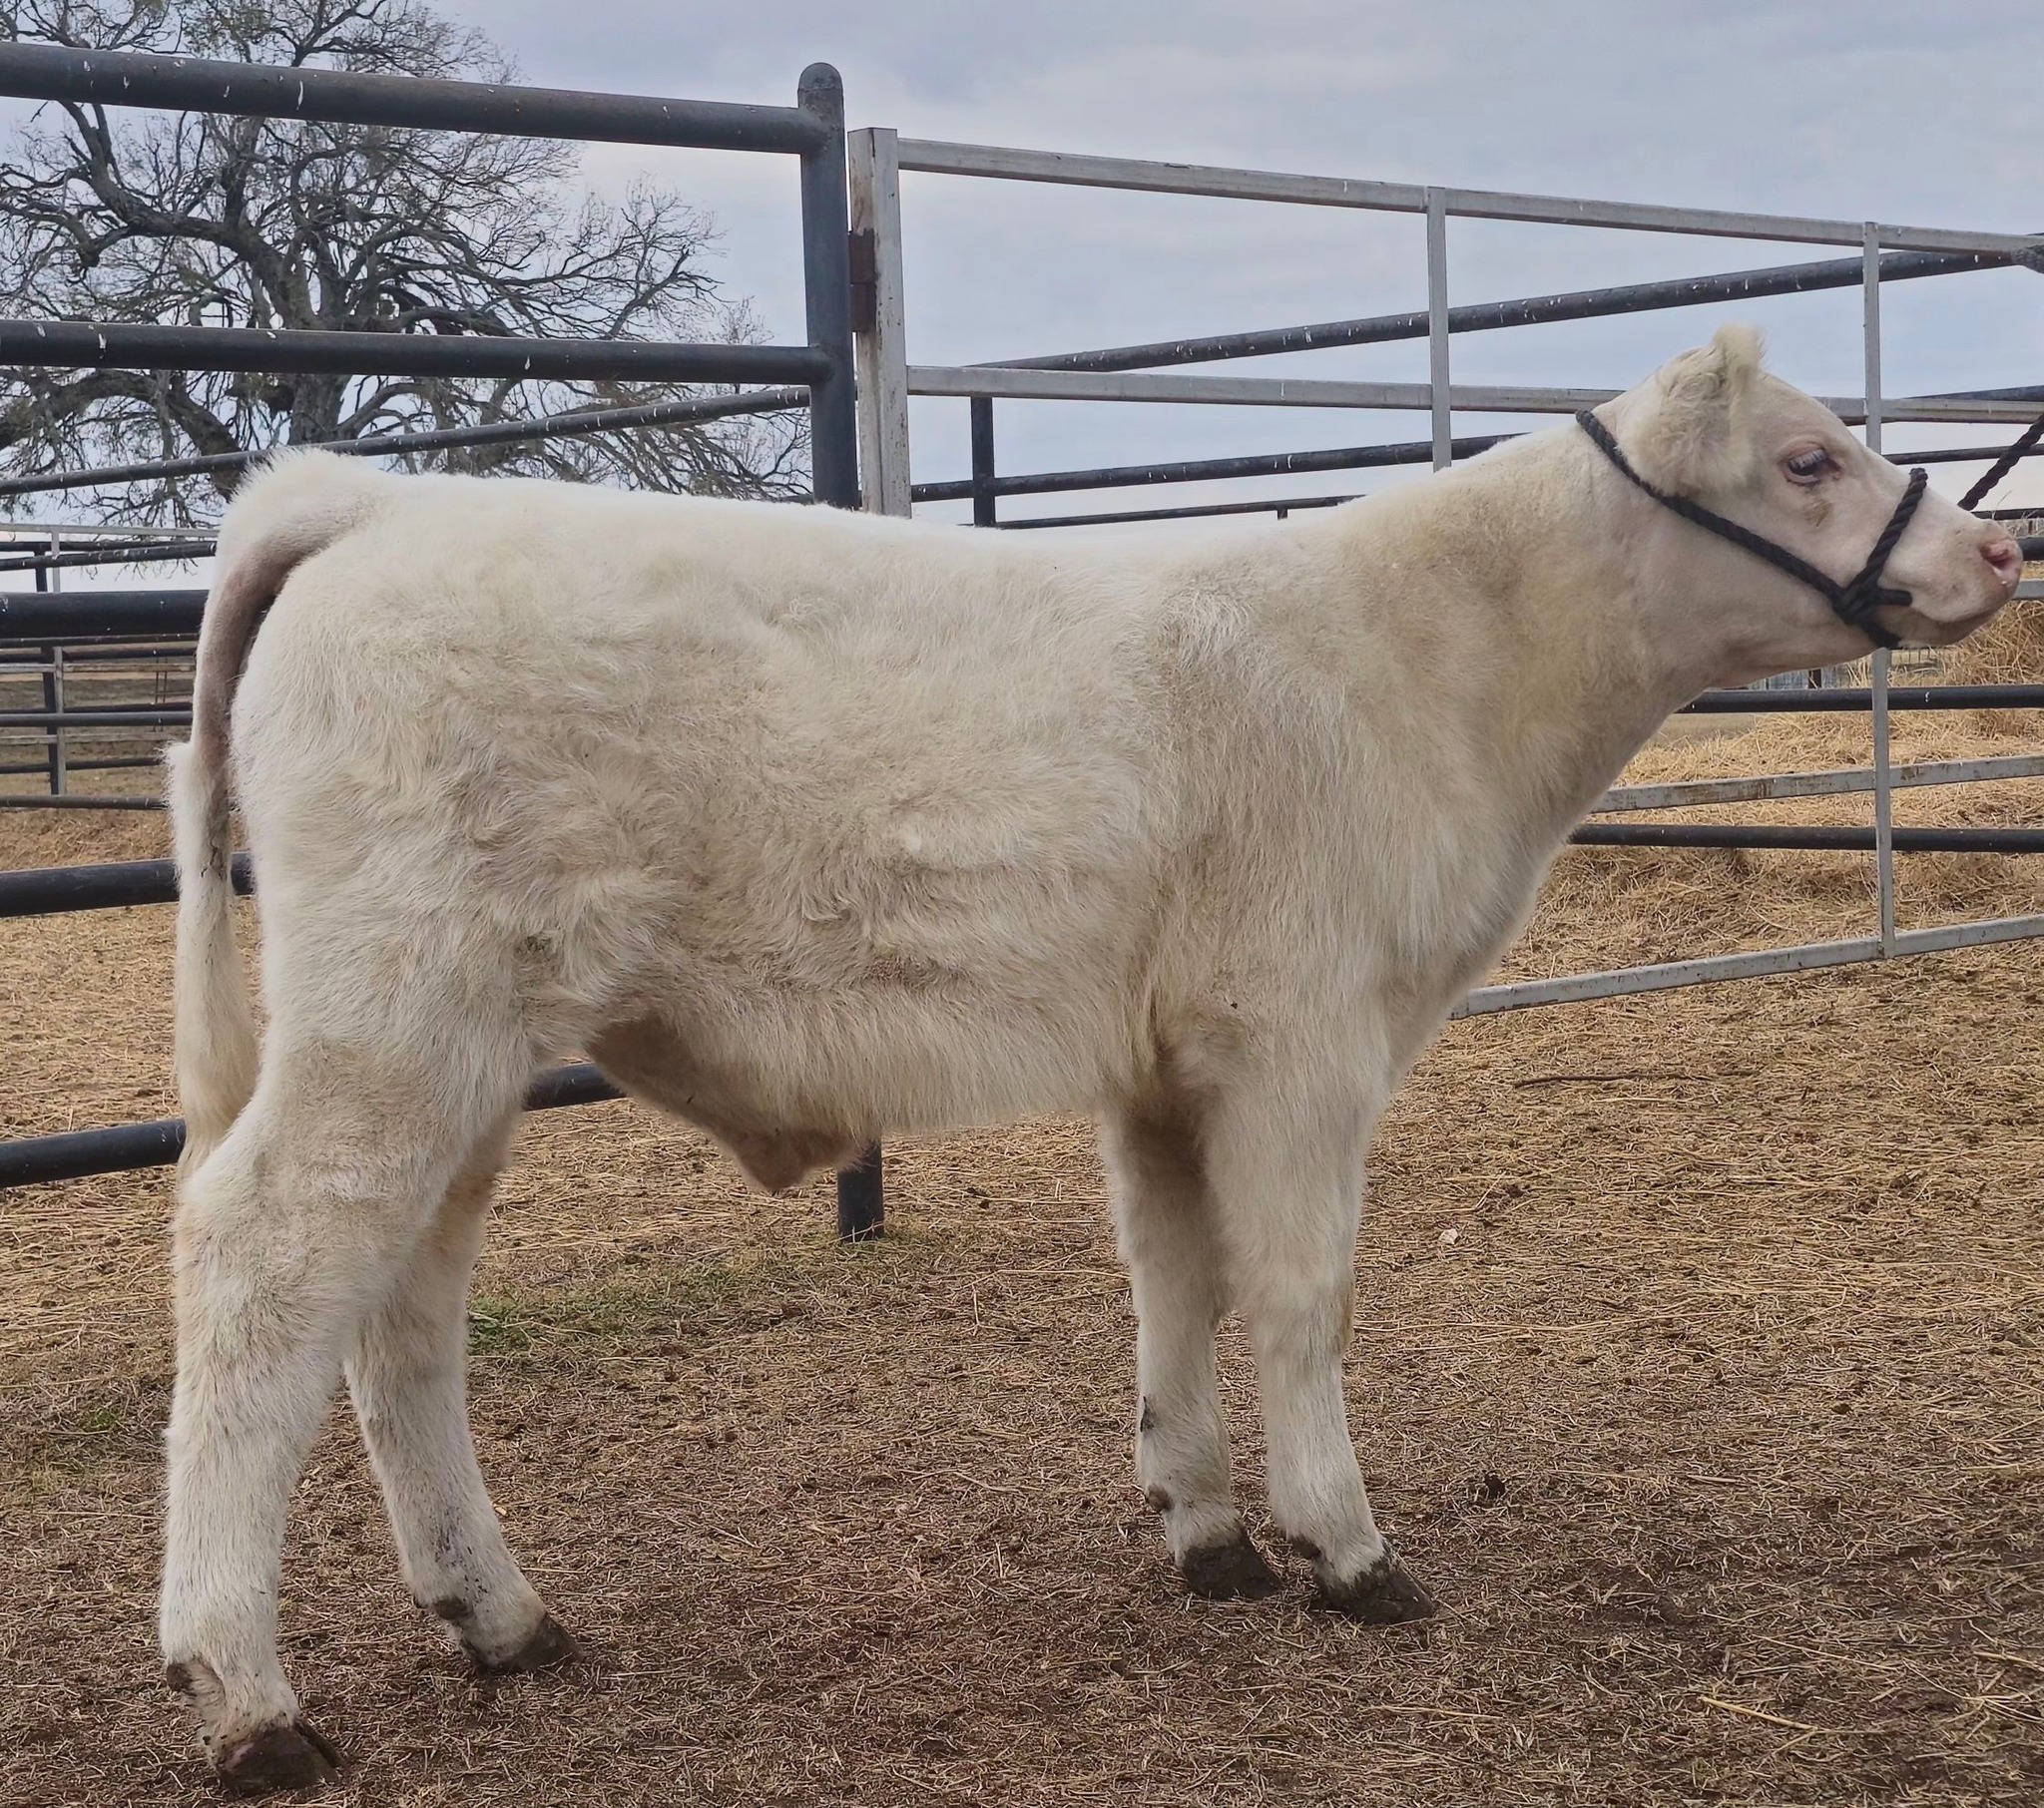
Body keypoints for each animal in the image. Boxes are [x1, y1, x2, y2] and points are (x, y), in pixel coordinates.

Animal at [157, 325, 2022, 1789]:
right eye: (1805, 456)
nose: (1997, 554)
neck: (1428, 662)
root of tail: (372, 500)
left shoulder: (1167, 1061)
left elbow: (1172, 1276)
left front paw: (1204, 1527)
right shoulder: (1302, 1036)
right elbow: (1299, 1290)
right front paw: (1348, 1544)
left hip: (461, 1054)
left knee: (401, 1315)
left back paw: (497, 1616)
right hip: (390, 1017)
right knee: (261, 1263)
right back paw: (248, 1695)